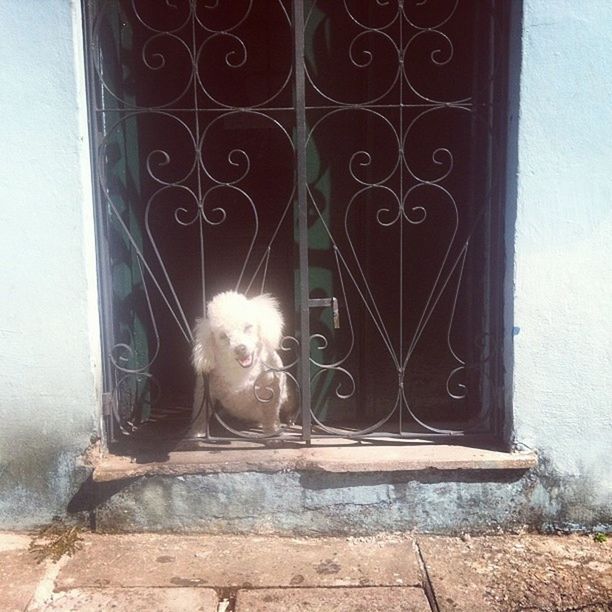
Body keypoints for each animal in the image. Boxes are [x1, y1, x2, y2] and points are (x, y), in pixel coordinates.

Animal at [191, 292, 296, 436]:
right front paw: (197, 433)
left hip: (288, 395)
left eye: (248, 327)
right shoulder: (204, 388)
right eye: (223, 336)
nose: (240, 348)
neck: (241, 371)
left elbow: (270, 413)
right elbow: (200, 413)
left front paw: (272, 431)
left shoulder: (271, 388)